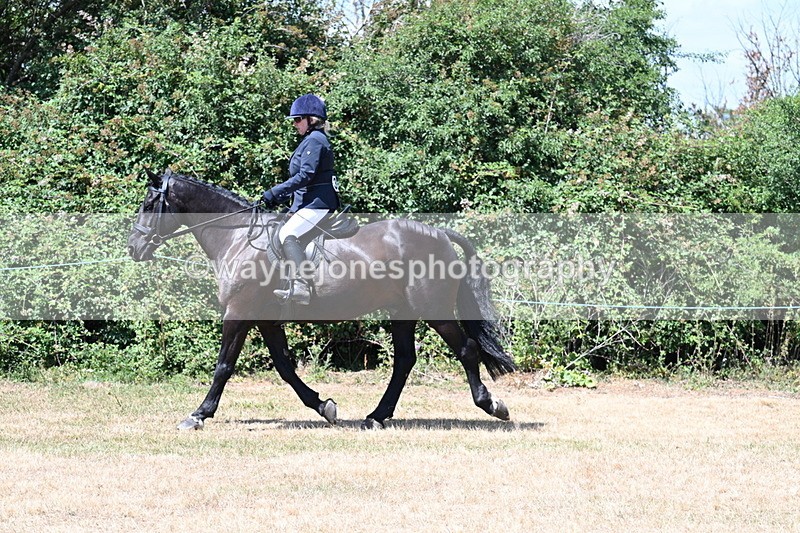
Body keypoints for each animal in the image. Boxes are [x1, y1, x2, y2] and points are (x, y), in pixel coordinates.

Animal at [127, 169, 516, 430]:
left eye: (149, 203)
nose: (134, 248)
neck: (237, 239)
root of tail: (439, 233)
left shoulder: (239, 312)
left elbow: (224, 365)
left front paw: (198, 414)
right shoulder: (265, 318)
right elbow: (285, 367)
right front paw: (323, 406)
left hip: (432, 310)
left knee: (465, 350)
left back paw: (493, 405)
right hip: (401, 311)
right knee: (405, 360)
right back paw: (376, 417)